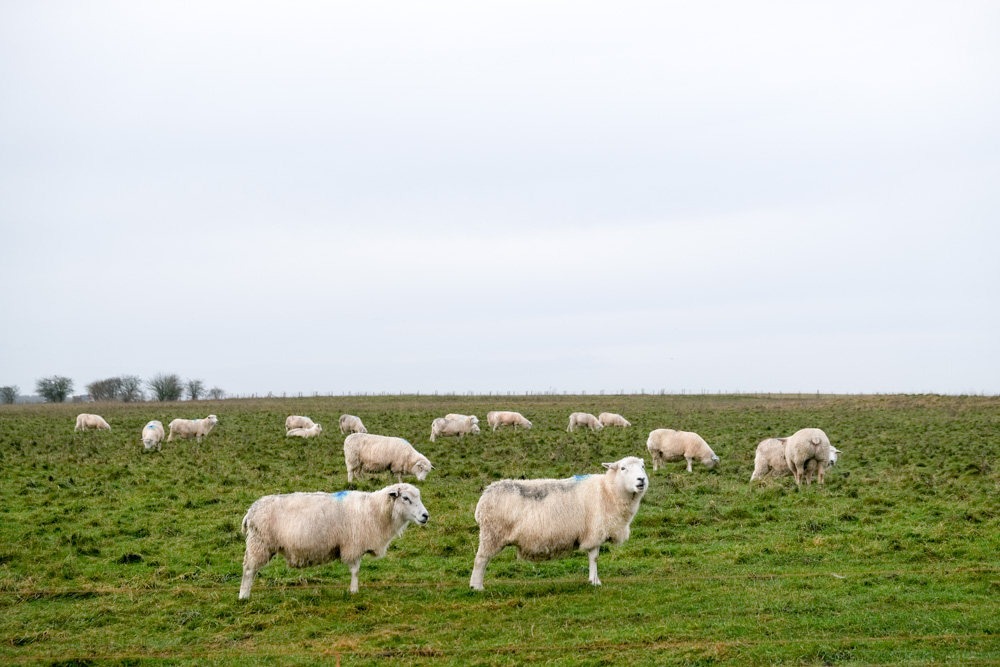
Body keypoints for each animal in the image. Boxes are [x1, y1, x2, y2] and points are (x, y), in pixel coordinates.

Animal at [243, 482, 434, 596]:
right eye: (406, 498)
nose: (425, 516)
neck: (374, 510)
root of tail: (251, 510)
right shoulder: (353, 544)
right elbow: (355, 570)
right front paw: (354, 591)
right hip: (259, 543)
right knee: (248, 570)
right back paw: (244, 596)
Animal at [468, 456, 648, 592]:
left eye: (643, 466)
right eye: (623, 468)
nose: (642, 479)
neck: (607, 490)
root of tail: (485, 495)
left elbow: (593, 557)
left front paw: (592, 580)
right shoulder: (595, 530)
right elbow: (595, 557)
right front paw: (596, 581)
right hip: (492, 534)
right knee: (481, 560)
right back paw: (476, 586)